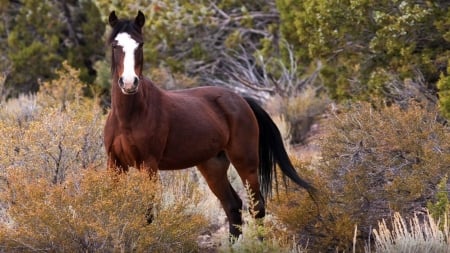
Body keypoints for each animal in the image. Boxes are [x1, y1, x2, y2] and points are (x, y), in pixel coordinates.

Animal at [104, 10, 316, 238]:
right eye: (115, 45)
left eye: (140, 44)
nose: (129, 83)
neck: (129, 117)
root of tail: (241, 100)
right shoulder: (115, 164)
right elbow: (114, 208)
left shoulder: (148, 165)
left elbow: (147, 214)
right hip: (213, 166)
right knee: (233, 206)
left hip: (246, 162)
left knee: (257, 206)